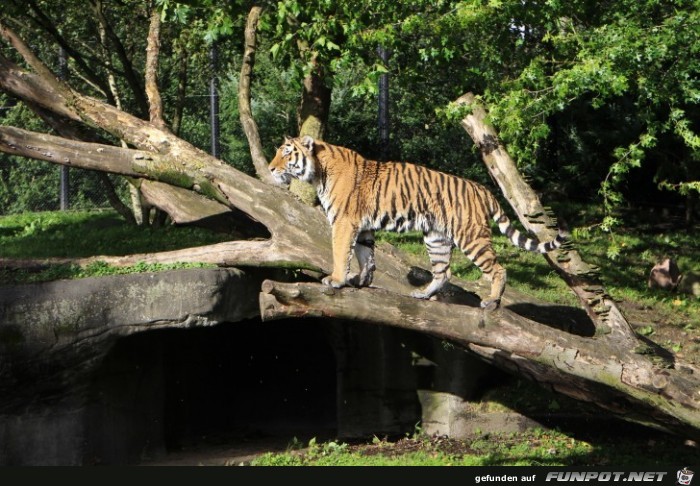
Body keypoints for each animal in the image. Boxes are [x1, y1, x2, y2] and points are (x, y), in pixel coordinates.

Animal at [270, 135, 568, 310]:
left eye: (286, 153)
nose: (271, 169)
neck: (318, 172)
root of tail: (483, 189)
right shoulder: (363, 226)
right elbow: (366, 256)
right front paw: (362, 281)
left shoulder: (344, 222)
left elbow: (341, 253)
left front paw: (336, 279)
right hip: (436, 237)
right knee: (444, 272)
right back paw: (424, 295)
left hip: (470, 236)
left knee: (497, 269)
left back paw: (492, 301)